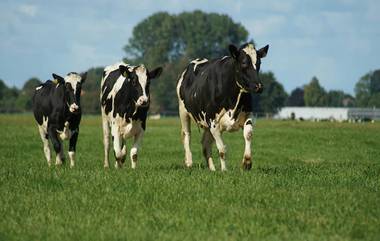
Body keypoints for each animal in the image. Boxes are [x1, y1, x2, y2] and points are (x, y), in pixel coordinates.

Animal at [177, 43, 268, 171]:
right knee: (187, 135)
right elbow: (222, 150)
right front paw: (224, 170)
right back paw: (189, 163)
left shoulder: (247, 115)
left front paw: (247, 162)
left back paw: (212, 169)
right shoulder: (213, 122)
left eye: (259, 63)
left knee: (205, 143)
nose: (259, 86)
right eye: (244, 63)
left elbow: (249, 134)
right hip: (183, 111)